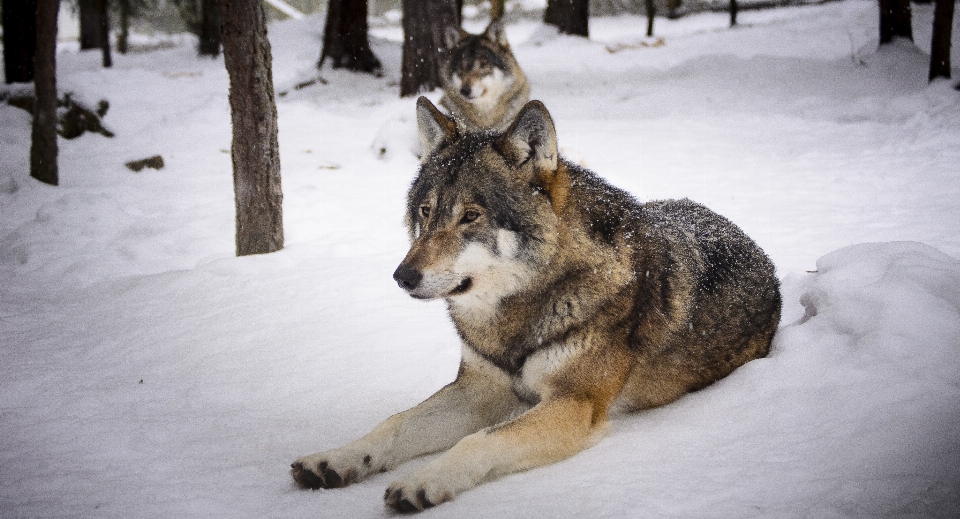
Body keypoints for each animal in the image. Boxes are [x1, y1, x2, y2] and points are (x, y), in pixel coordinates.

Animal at [290, 96, 780, 512]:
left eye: (471, 216)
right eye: (426, 212)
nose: (402, 276)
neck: (519, 309)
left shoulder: (573, 404)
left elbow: (479, 441)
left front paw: (422, 481)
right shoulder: (479, 389)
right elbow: (395, 423)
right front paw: (336, 459)